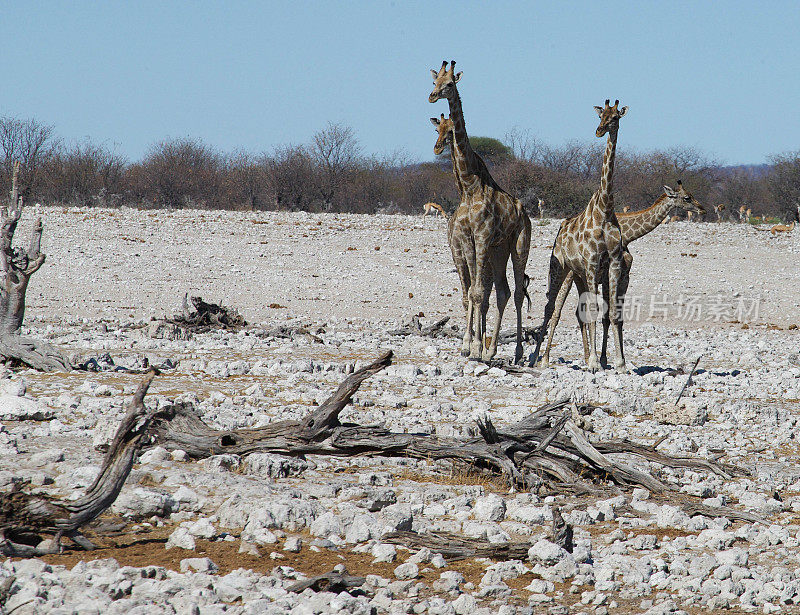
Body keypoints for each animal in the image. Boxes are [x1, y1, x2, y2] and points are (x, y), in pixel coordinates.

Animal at [428, 61, 536, 366]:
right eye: (434, 81)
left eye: (450, 83)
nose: (432, 96)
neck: (469, 186)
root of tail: (525, 213)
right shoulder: (466, 240)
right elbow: (472, 294)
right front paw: (471, 346)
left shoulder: (482, 236)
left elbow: (478, 293)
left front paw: (473, 348)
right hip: (499, 250)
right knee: (503, 291)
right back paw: (492, 349)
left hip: (518, 245)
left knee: (517, 292)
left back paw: (518, 352)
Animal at [536, 180, 704, 368]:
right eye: (687, 197)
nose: (702, 209)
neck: (629, 234)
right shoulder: (610, 276)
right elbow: (607, 316)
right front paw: (606, 359)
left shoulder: (624, 275)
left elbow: (615, 316)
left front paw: (609, 359)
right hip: (567, 274)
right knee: (553, 310)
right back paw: (542, 358)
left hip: (581, 278)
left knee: (579, 312)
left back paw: (586, 357)